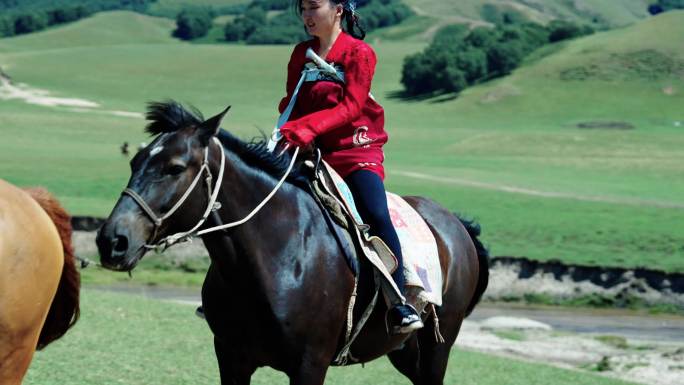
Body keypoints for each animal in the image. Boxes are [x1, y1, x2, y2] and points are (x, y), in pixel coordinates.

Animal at [96, 102, 488, 384]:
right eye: (134, 160)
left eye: (175, 167)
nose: (112, 240)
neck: (277, 256)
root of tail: (457, 226)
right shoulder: (232, 359)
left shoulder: (309, 366)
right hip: (404, 350)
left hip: (437, 346)